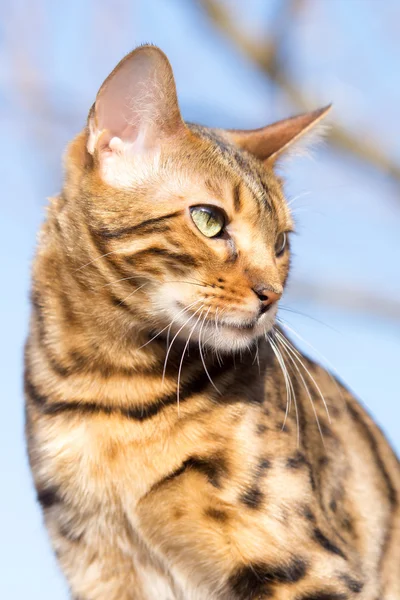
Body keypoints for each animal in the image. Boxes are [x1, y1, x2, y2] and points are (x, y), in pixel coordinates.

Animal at [25, 45, 400, 600]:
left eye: (281, 242)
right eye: (209, 220)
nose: (272, 295)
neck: (111, 384)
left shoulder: (304, 566)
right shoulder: (99, 566)